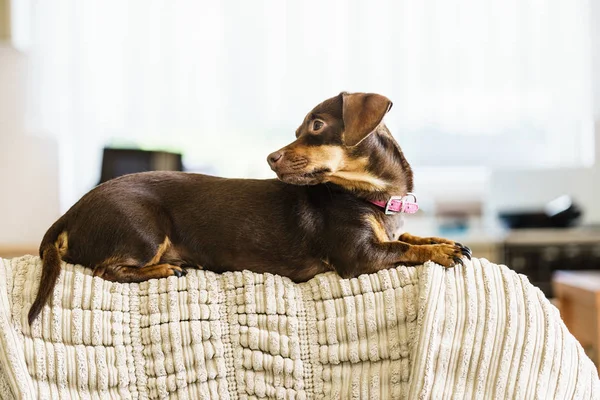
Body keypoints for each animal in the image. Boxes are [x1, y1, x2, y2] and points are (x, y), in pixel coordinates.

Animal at [27, 92, 468, 324]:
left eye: (316, 127)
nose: (271, 158)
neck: (366, 194)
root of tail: (69, 214)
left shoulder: (384, 236)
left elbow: (409, 235)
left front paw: (444, 241)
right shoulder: (359, 257)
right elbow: (404, 248)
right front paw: (441, 251)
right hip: (144, 230)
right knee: (107, 270)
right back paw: (164, 269)